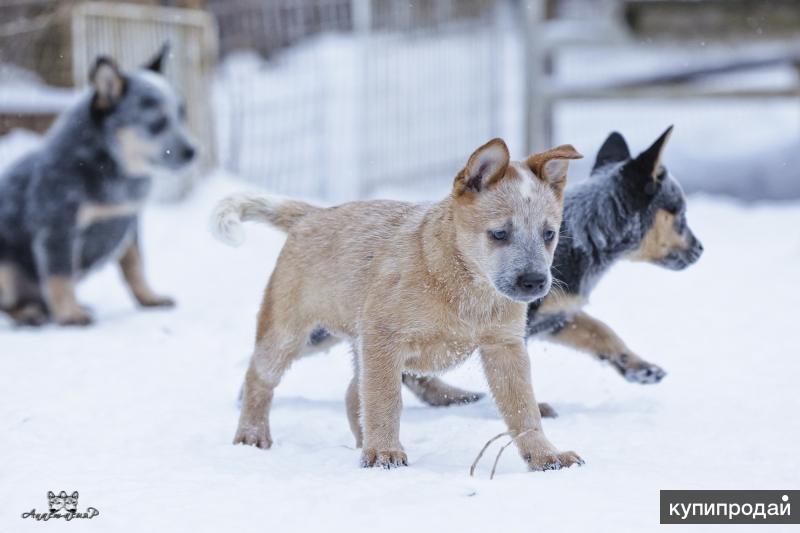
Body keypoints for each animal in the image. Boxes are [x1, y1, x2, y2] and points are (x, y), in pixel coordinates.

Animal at [0, 45, 195, 326]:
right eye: (157, 120)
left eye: (182, 115)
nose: (193, 152)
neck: (115, 172)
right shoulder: (57, 229)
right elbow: (60, 276)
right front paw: (69, 314)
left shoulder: (129, 223)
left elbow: (136, 267)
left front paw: (150, 298)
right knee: (9, 303)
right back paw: (29, 313)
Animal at [211, 138, 588, 470]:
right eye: (499, 234)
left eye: (549, 234)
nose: (535, 282)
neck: (463, 284)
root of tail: (310, 216)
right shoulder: (384, 339)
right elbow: (385, 401)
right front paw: (384, 455)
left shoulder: (505, 347)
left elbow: (524, 410)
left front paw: (546, 456)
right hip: (288, 332)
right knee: (259, 378)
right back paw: (252, 435)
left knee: (352, 394)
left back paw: (361, 444)